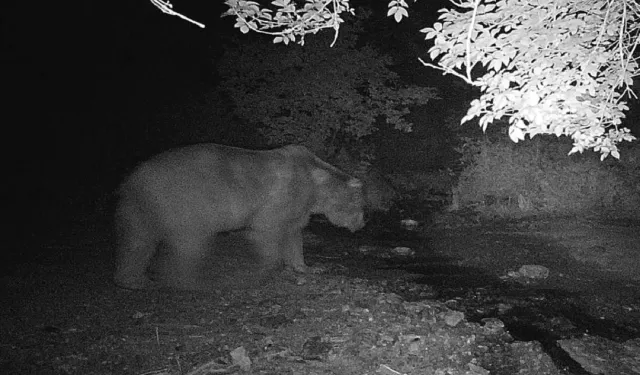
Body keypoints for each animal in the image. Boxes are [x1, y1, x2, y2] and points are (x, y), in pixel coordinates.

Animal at [114, 144, 364, 290]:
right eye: (362, 206)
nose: (361, 225)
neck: (317, 188)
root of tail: (133, 177)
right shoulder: (285, 195)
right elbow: (267, 229)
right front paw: (262, 272)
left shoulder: (298, 208)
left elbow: (293, 234)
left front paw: (306, 266)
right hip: (188, 201)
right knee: (188, 242)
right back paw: (191, 282)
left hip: (144, 206)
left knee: (138, 242)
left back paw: (133, 279)